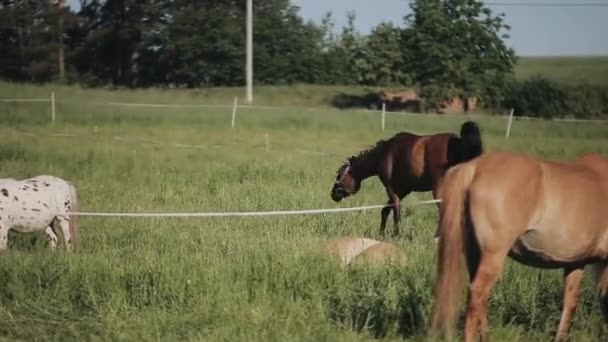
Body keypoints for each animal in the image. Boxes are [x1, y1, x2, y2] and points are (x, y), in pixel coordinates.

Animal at [330, 121, 482, 238]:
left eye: (339, 175)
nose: (333, 194)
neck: (383, 154)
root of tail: (461, 142)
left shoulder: (391, 189)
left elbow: (396, 213)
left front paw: (396, 235)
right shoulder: (403, 191)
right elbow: (385, 210)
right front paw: (382, 233)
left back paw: (437, 237)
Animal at [430, 150, 608, 342]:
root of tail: (474, 167)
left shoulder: (575, 262)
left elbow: (571, 301)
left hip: (474, 253)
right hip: (493, 255)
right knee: (477, 292)